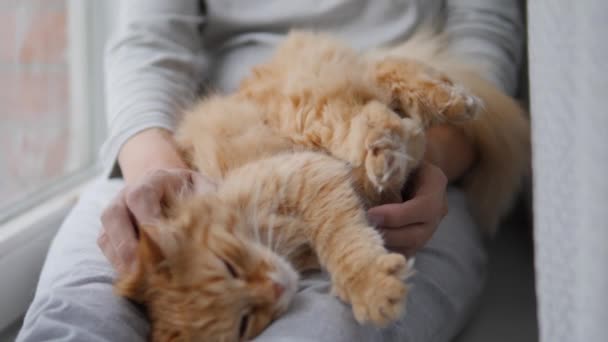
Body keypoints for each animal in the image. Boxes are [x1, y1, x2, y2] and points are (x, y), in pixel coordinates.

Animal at [114, 30, 528, 340]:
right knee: (384, 88)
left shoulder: (307, 174)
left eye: (229, 266)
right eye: (244, 323)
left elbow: (344, 244)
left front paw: (373, 289)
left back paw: (447, 105)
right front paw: (398, 159)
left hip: (308, 111)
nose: (278, 287)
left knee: (382, 81)